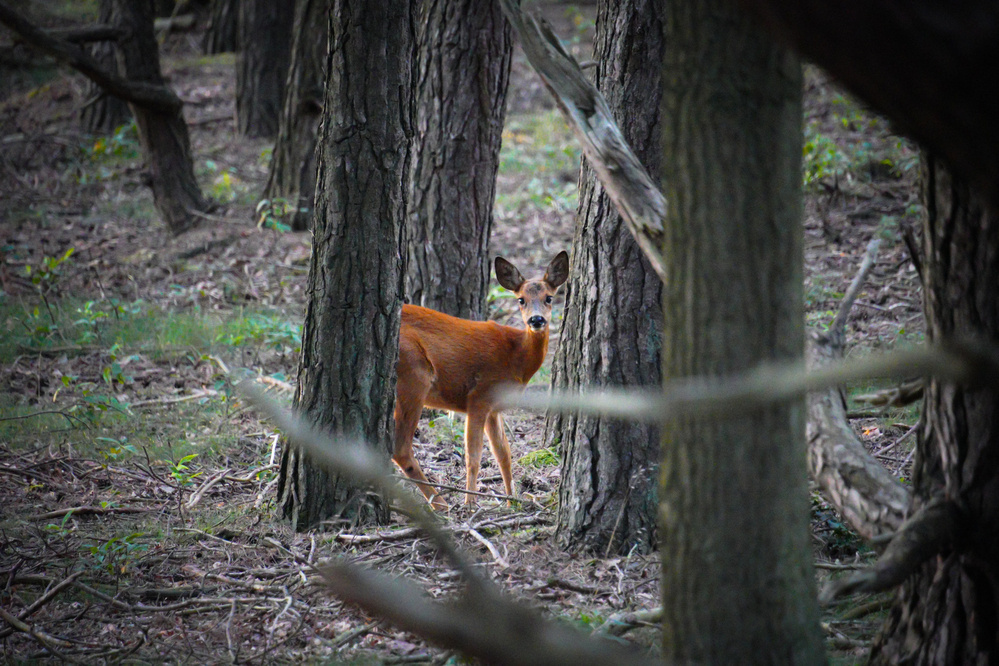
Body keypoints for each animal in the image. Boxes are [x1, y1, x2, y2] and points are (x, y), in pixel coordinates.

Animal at [396, 252, 572, 506]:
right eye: (521, 300)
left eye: (549, 297)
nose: (536, 320)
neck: (517, 357)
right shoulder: (479, 396)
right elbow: (474, 456)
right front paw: (470, 503)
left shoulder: (494, 408)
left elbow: (503, 454)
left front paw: (511, 500)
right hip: (414, 374)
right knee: (400, 447)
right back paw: (441, 505)